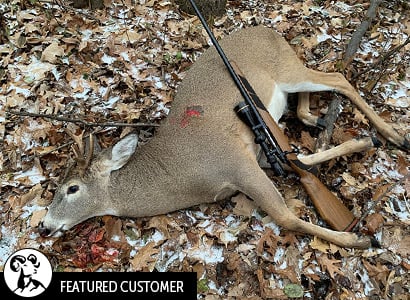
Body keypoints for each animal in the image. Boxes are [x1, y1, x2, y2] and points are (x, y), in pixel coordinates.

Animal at [37, 25, 406, 247]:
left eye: (72, 188)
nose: (45, 225)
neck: (180, 177)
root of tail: (269, 29)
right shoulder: (257, 156)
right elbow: (301, 159)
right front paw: (363, 142)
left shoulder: (235, 163)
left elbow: (286, 216)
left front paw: (356, 239)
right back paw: (320, 120)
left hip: (287, 70)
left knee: (337, 77)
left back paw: (394, 135)